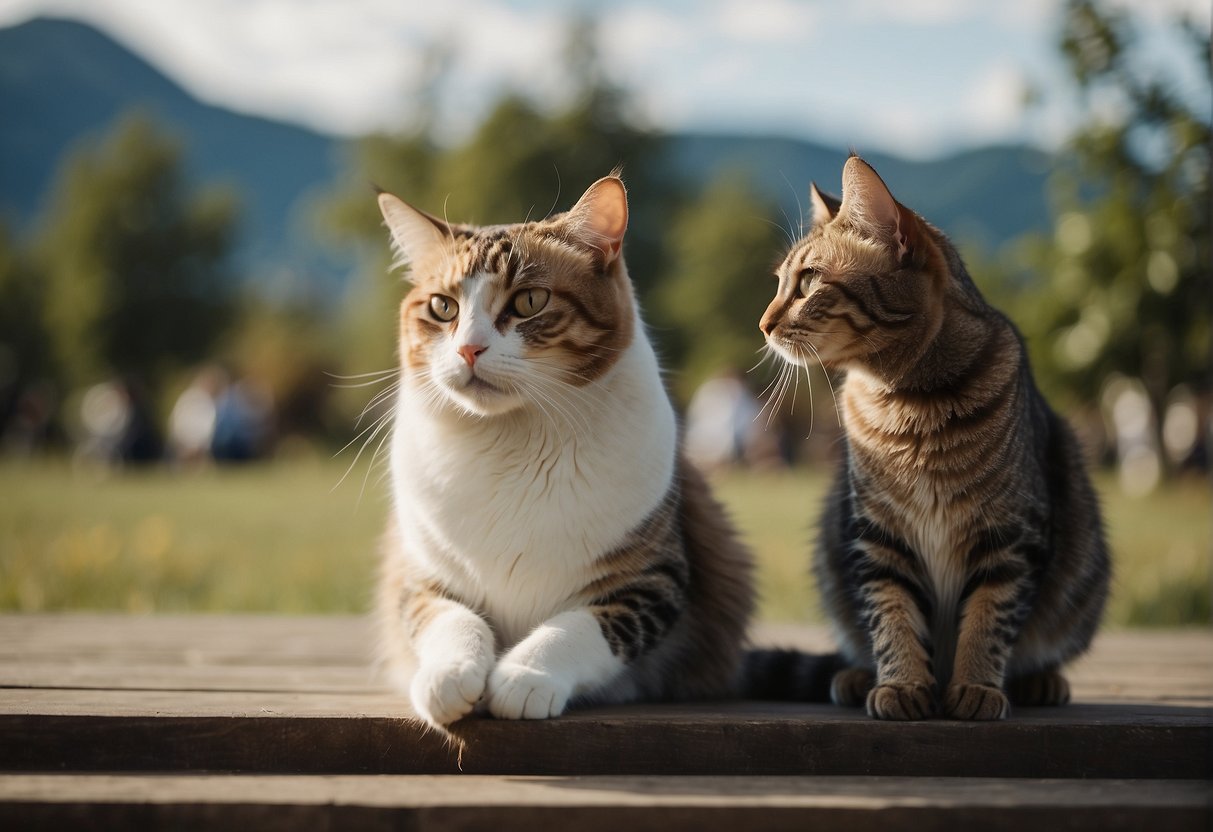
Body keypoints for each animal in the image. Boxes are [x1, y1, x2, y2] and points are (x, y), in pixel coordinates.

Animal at [373, 174, 752, 727]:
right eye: (443, 307)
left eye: (530, 301)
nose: (468, 349)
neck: (512, 439)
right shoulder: (420, 571)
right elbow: (447, 618)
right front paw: (449, 674)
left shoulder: (653, 580)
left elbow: (579, 627)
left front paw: (525, 677)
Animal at [756, 157, 1111, 722]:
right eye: (779, 283)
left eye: (808, 281)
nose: (763, 324)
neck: (908, 405)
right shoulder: (877, 538)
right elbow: (891, 616)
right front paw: (900, 683)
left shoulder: (1012, 536)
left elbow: (988, 620)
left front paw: (977, 686)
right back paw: (857, 676)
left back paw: (1038, 680)